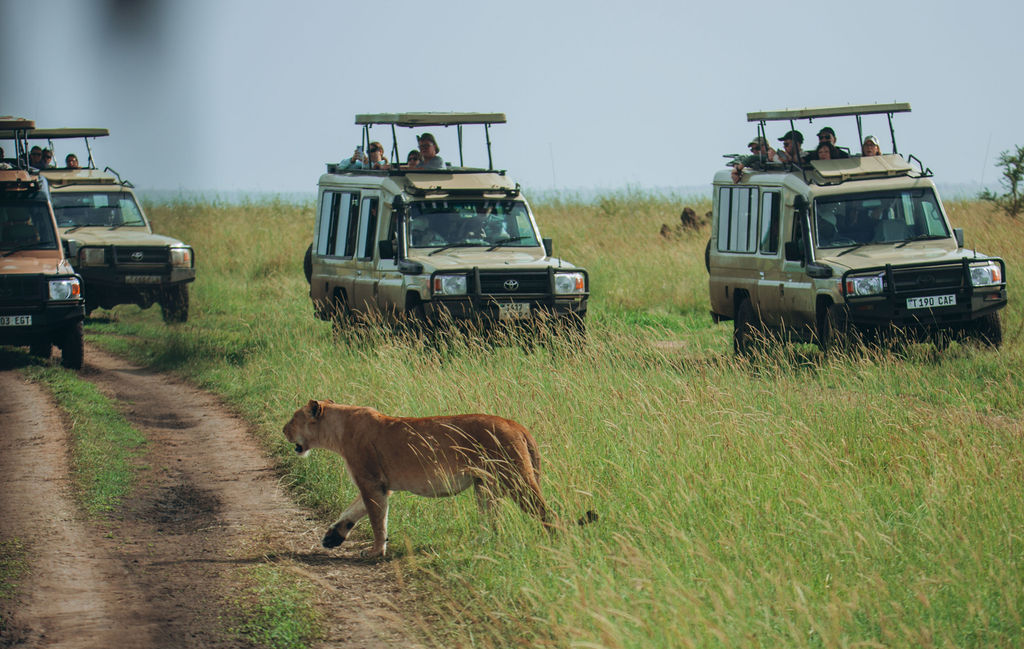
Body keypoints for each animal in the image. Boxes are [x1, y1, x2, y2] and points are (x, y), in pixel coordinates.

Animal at [282, 400, 597, 557]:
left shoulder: (371, 481)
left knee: (548, 513)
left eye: (293, 418)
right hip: (486, 486)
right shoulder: (380, 485)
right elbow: (353, 510)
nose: (283, 430)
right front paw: (333, 536)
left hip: (516, 479)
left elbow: (375, 519)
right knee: (492, 522)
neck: (337, 430)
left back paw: (556, 543)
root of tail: (516, 425)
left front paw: (375, 551)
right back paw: (479, 543)